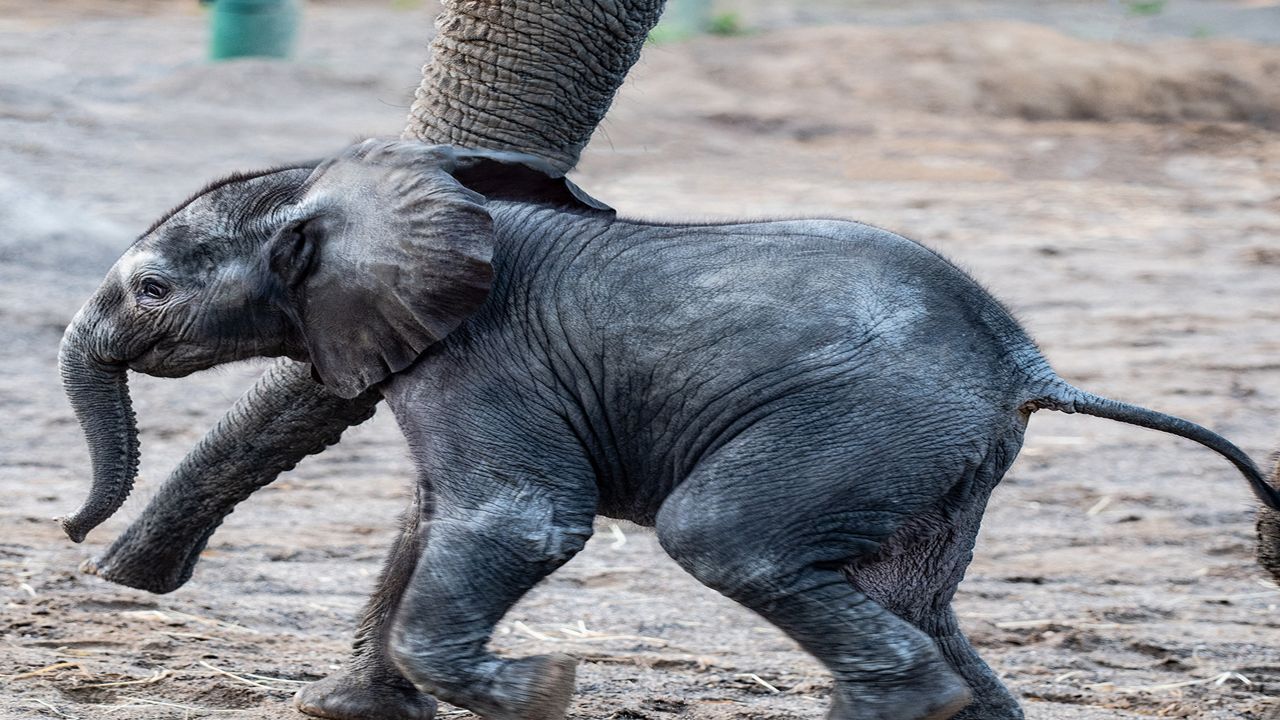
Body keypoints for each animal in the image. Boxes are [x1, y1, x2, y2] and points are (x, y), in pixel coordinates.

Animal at [60, 140, 1280, 717]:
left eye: (153, 288)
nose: (76, 542)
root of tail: (1025, 361)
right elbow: (436, 516)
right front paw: (350, 710)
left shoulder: (483, 358)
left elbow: (519, 519)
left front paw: (545, 695)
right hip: (936, 457)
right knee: (915, 606)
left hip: (863, 422)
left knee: (727, 540)